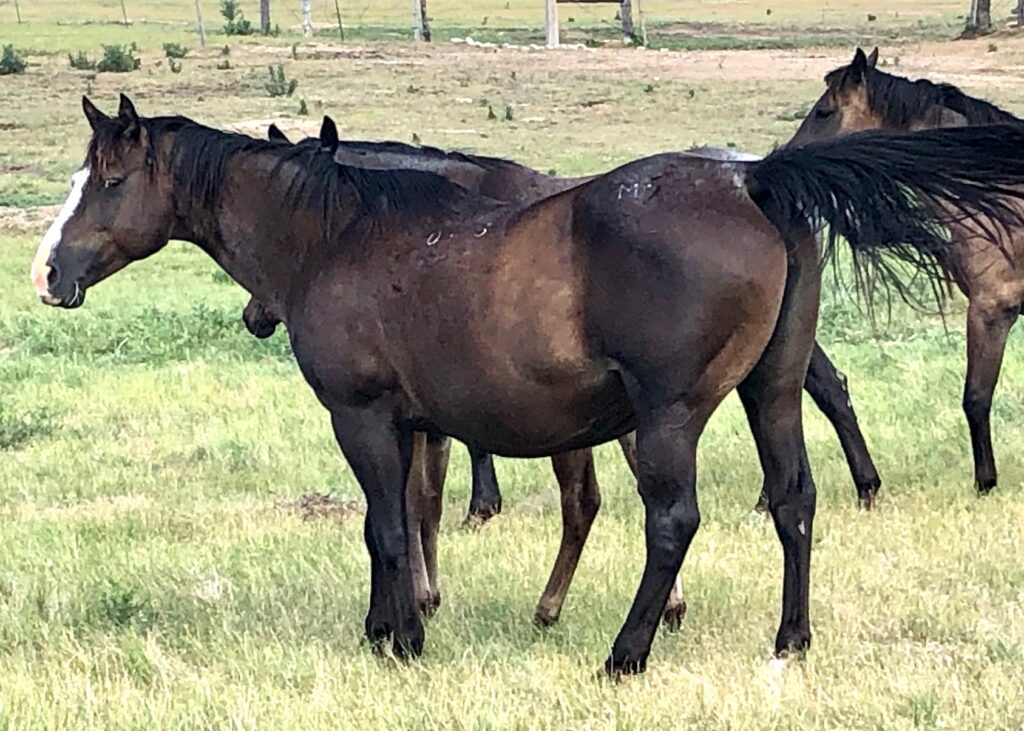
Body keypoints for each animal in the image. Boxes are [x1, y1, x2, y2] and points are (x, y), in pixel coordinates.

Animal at [29, 95, 1024, 671]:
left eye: (107, 179)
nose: (48, 274)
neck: (341, 235)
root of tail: (754, 179)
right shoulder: (409, 423)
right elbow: (392, 525)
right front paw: (385, 625)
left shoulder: (363, 417)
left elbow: (386, 527)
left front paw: (403, 640)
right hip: (769, 392)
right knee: (795, 500)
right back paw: (790, 641)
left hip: (670, 416)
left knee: (673, 521)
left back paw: (626, 652)